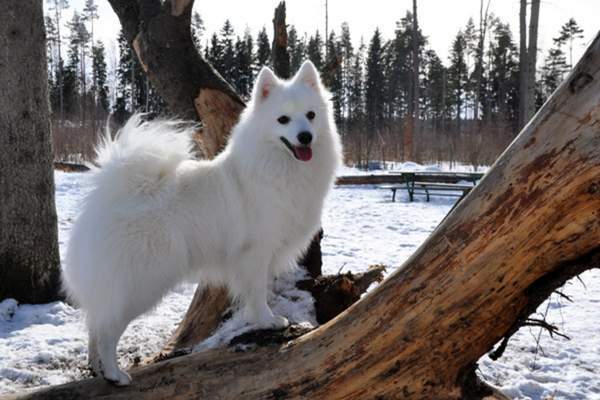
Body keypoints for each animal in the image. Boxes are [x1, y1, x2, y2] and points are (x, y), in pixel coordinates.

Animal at [63, 61, 342, 386]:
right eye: (283, 119)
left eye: (311, 115)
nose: (306, 136)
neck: (280, 166)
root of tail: (111, 195)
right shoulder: (256, 252)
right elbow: (258, 291)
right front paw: (268, 320)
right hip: (142, 281)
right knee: (107, 330)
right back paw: (114, 373)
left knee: (95, 325)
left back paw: (97, 369)